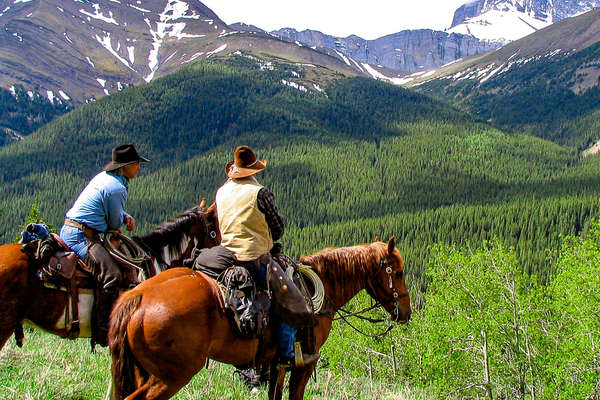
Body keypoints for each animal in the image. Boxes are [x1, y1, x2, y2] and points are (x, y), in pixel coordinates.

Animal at [109, 236, 412, 398]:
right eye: (397, 272)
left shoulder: (277, 363)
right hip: (171, 375)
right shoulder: (304, 364)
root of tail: (139, 297)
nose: (406, 313)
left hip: (142, 370)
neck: (322, 286)